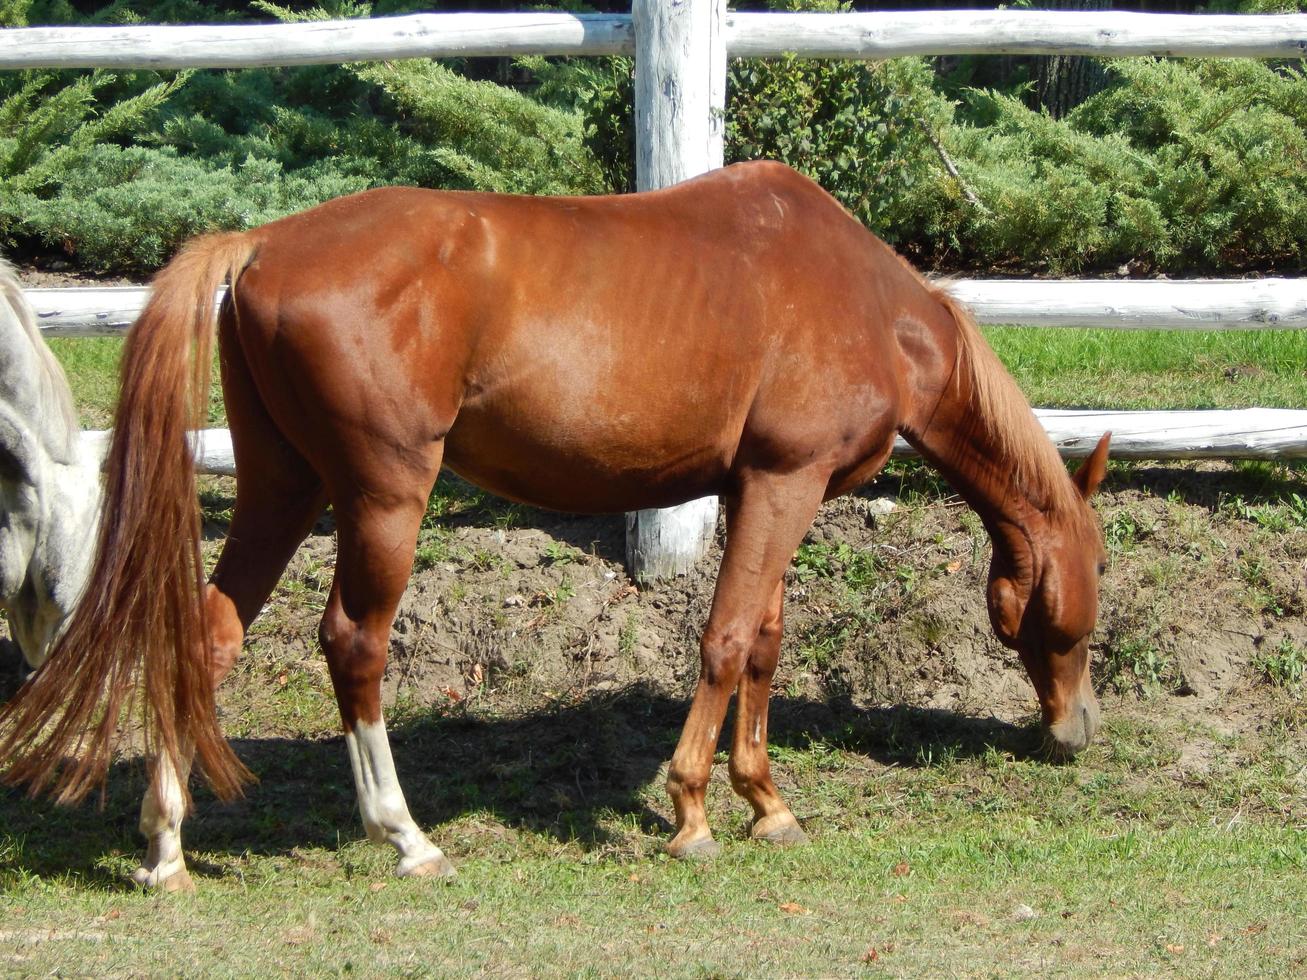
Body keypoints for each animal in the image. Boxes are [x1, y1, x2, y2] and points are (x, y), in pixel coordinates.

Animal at [0, 163, 1108, 888]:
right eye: (1085, 593)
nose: (1073, 726)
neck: (869, 302)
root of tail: (263, 243)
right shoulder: (781, 484)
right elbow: (722, 642)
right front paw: (692, 810)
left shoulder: (765, 490)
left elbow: (761, 643)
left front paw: (765, 800)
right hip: (380, 498)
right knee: (353, 644)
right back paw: (403, 834)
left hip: (284, 485)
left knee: (206, 634)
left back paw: (165, 845)